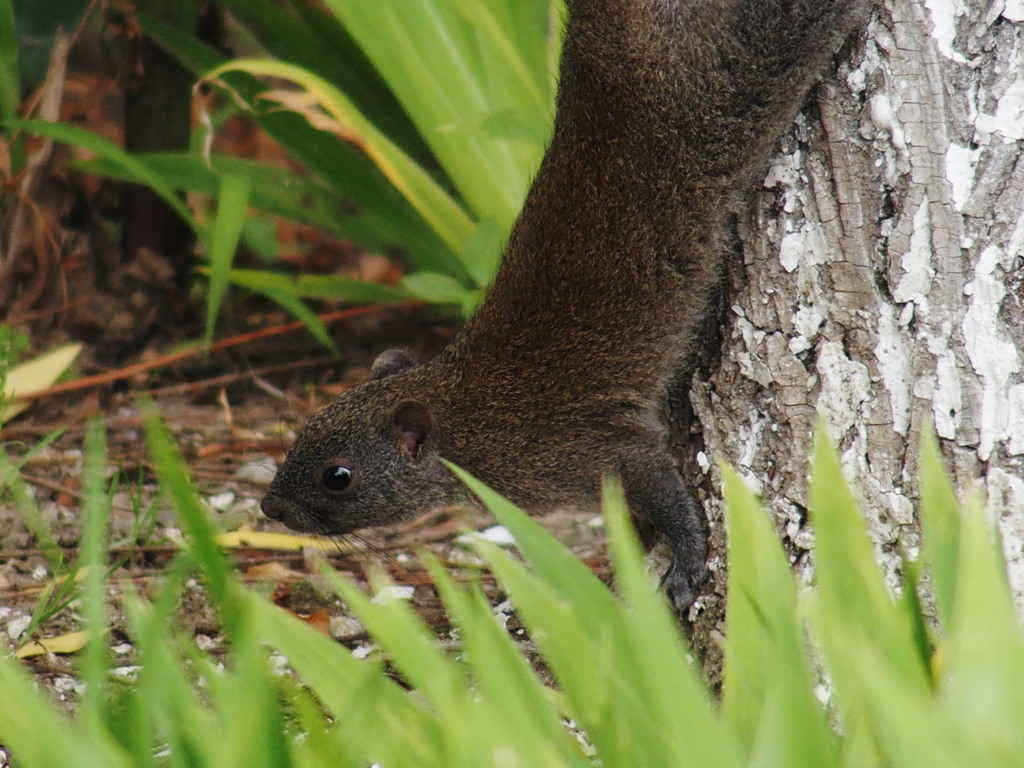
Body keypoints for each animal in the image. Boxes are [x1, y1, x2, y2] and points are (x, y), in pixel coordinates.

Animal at [260, 0, 868, 614]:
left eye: (339, 476)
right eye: (303, 432)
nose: (270, 508)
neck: (466, 416)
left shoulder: (595, 449)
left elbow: (665, 495)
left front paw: (684, 562)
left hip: (744, 69)